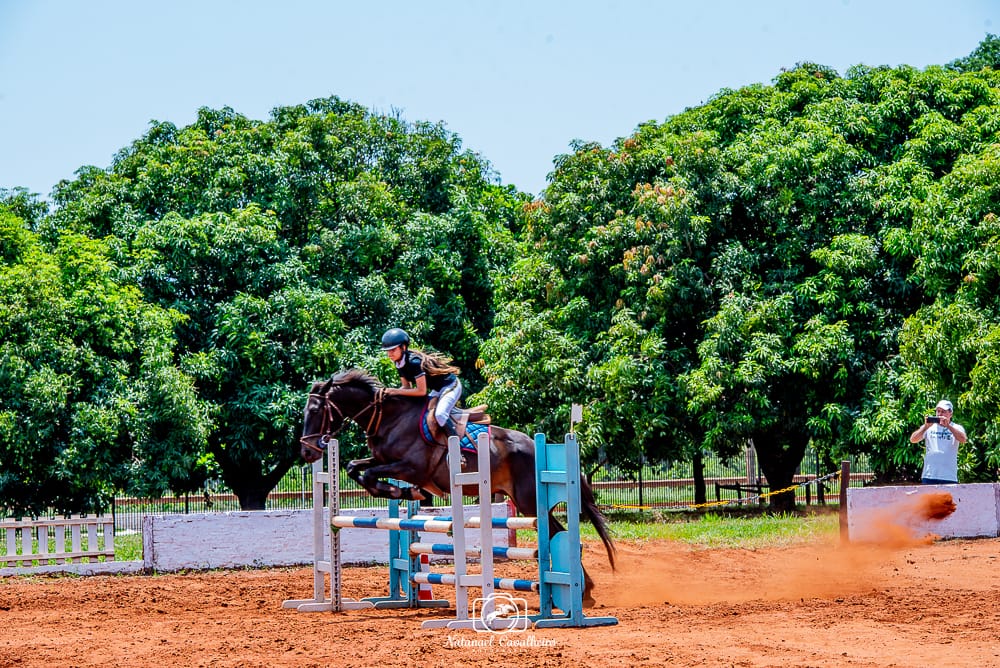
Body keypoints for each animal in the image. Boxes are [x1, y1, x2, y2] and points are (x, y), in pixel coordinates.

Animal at [300, 366, 616, 604]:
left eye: (315, 410)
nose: (307, 452)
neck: (389, 418)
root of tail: (540, 446)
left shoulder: (412, 467)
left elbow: (370, 477)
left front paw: (399, 491)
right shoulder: (382, 460)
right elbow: (354, 468)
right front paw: (406, 493)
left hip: (529, 503)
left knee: (558, 534)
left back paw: (581, 591)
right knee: (556, 533)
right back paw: (578, 591)